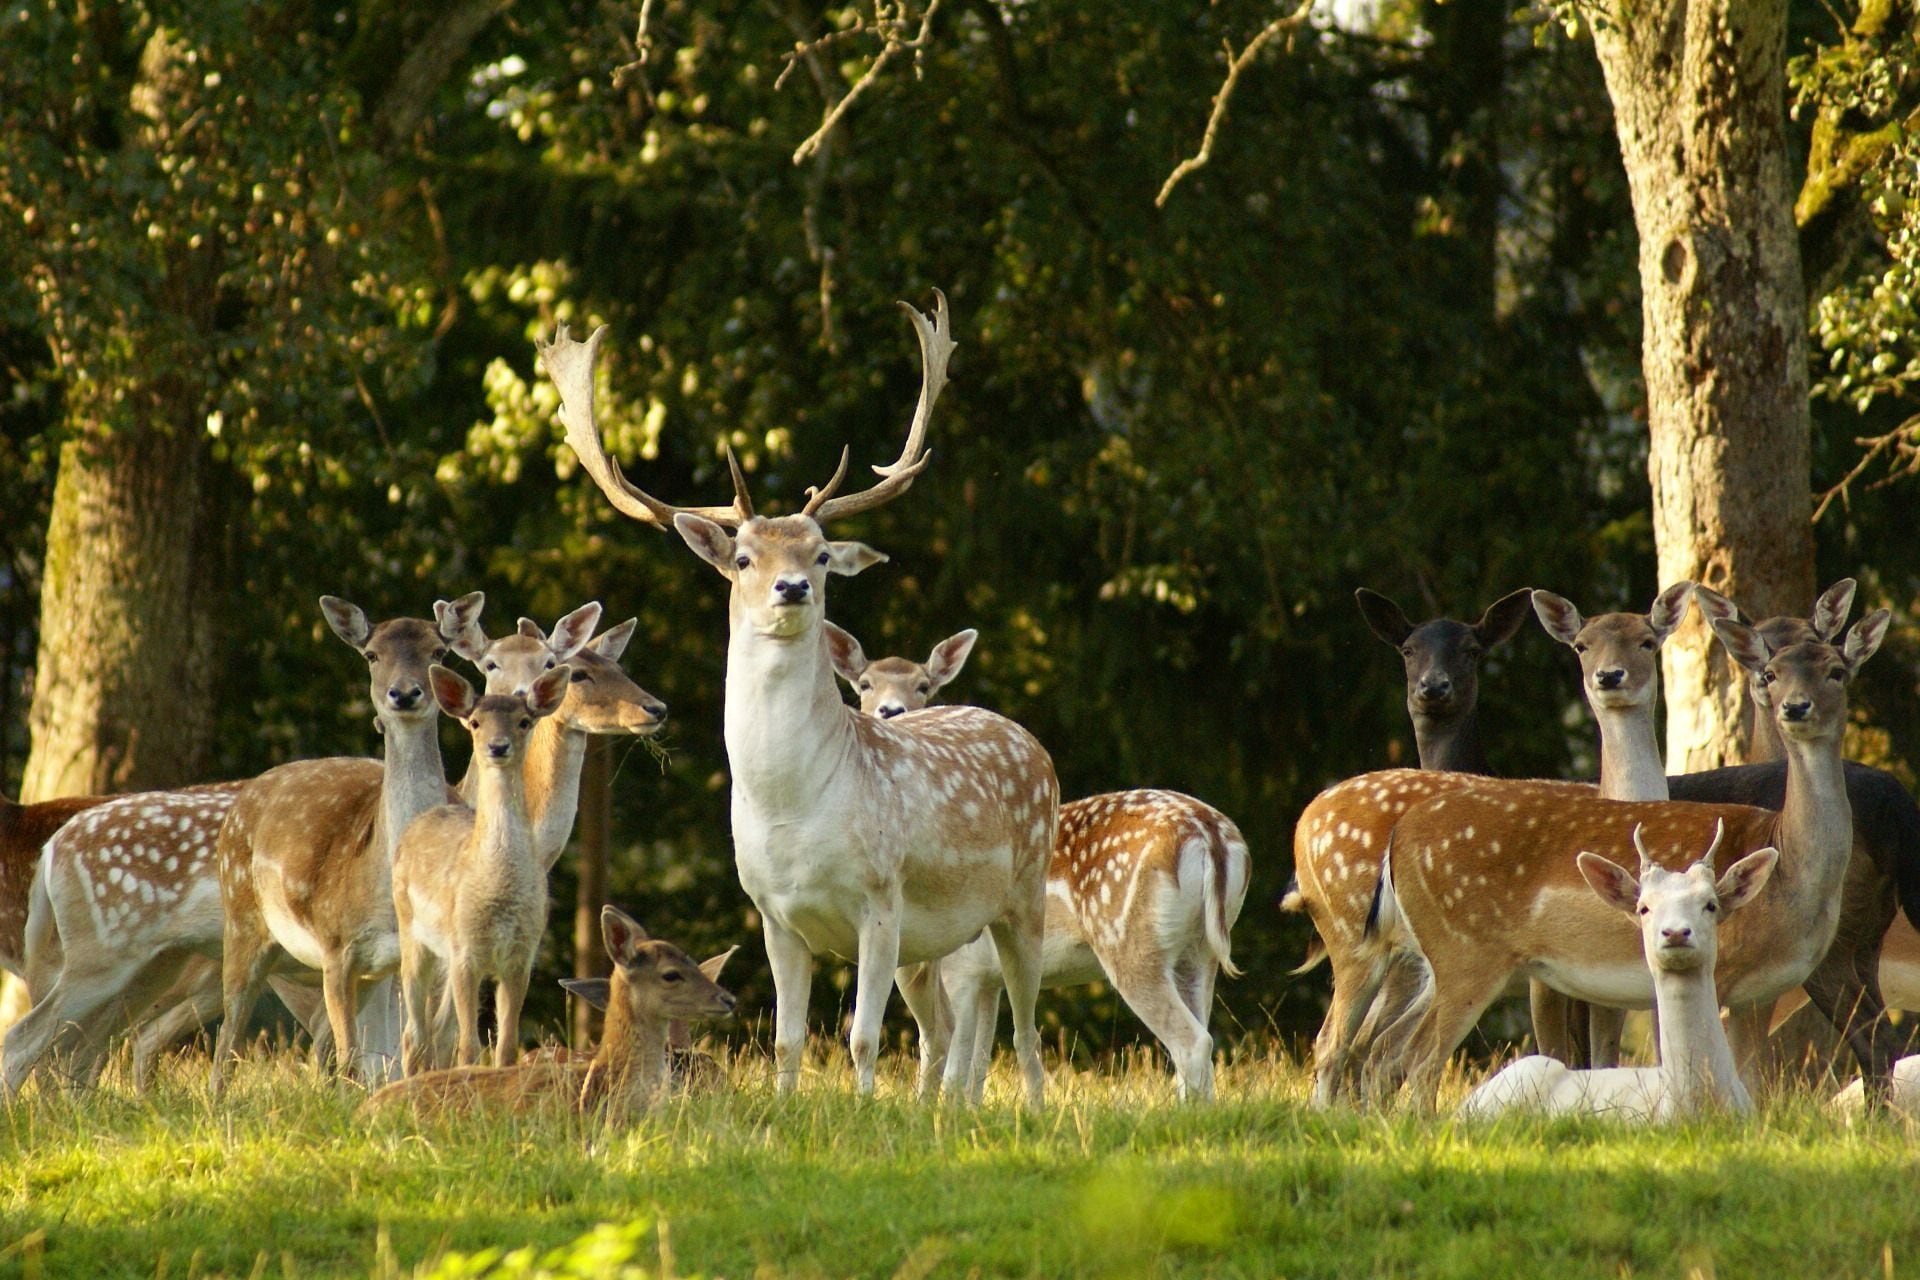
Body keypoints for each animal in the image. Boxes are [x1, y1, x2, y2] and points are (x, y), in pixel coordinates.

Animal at [209, 593, 485, 1093]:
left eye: (438, 651)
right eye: (372, 655)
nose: (404, 693)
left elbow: (417, 1050)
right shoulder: (336, 946)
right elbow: (352, 1057)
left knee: (317, 1040)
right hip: (241, 920)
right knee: (230, 1036)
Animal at [391, 663, 570, 1073]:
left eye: (524, 721)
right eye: (475, 722)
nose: (498, 746)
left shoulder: (522, 956)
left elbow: (505, 1046)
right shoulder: (466, 951)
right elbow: (469, 1045)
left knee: (435, 1030)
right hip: (412, 933)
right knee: (414, 1034)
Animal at [537, 292, 1058, 1106]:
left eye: (819, 555)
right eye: (744, 557)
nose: (792, 588)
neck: (792, 806)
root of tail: (1028, 740)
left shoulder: (882, 897)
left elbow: (862, 1037)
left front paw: (866, 1113)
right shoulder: (772, 913)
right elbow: (787, 1040)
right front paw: (788, 1109)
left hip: (1024, 894)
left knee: (1025, 1028)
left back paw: (1026, 1109)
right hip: (946, 938)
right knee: (950, 1027)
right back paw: (939, 1109)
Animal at [824, 622, 1250, 1100]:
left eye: (923, 685)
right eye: (864, 683)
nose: (891, 710)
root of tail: (1211, 836)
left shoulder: (963, 968)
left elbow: (954, 1060)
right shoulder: (984, 977)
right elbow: (977, 1065)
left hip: (1131, 940)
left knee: (1191, 1043)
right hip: (1200, 951)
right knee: (1201, 1039)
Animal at [1281, 587, 1535, 1108]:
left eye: (1472, 649)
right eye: (1407, 649)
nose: (1433, 687)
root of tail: (1302, 828)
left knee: (1363, 1048)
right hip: (1360, 939)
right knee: (1345, 1043)